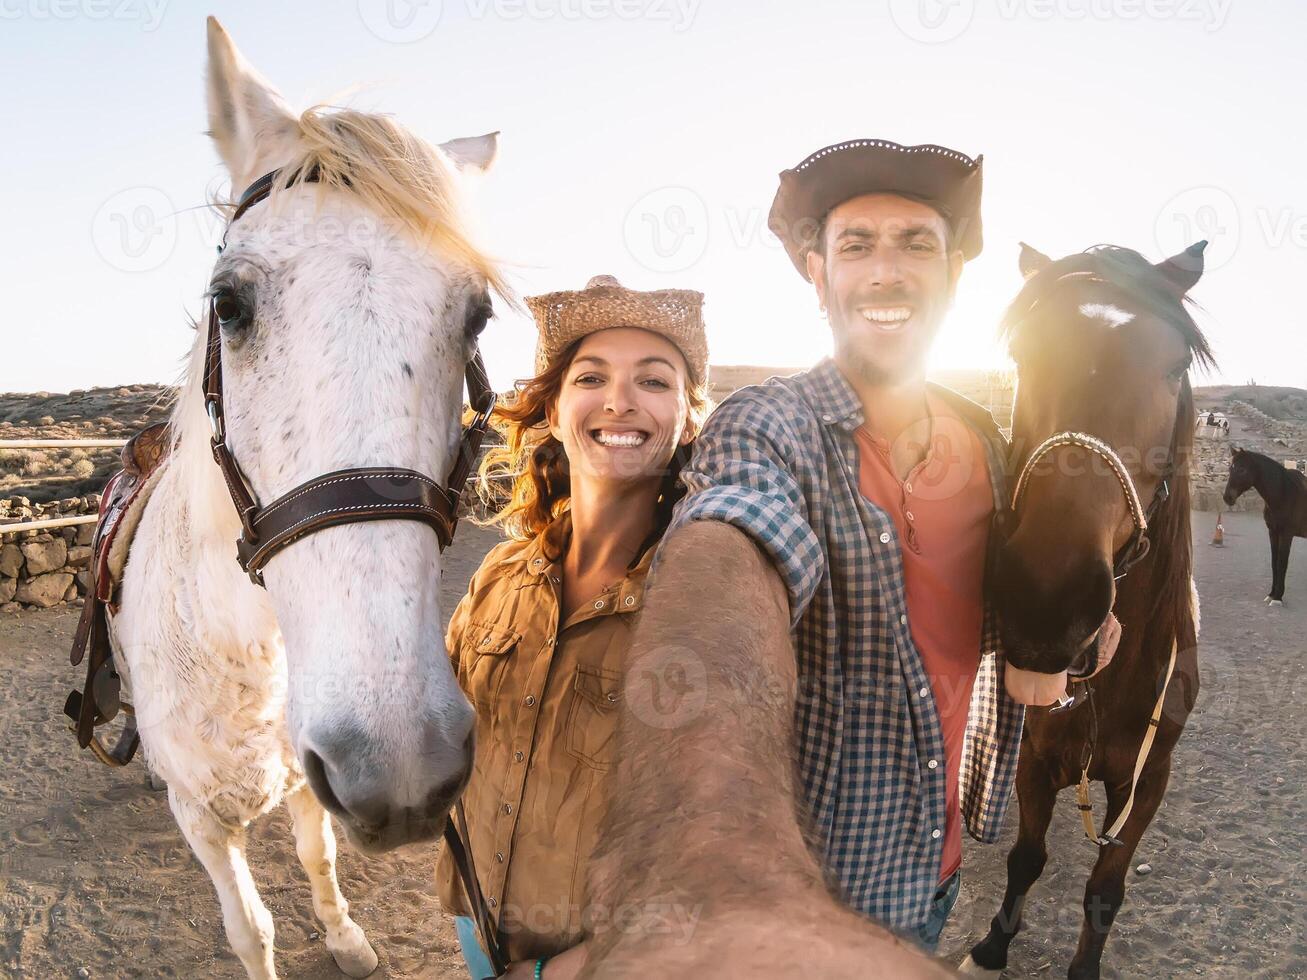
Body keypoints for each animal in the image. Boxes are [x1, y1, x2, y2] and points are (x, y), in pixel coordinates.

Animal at [107, 17, 499, 980]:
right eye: (228, 302)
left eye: (475, 316)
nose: (400, 766)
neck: (245, 653)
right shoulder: (205, 823)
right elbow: (250, 928)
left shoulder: (308, 778)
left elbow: (319, 858)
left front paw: (349, 937)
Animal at [956, 240, 1207, 980]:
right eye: (1022, 355)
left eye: (1175, 365)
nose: (1049, 598)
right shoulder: (1033, 758)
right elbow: (1026, 858)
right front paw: (994, 942)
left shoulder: (1148, 781)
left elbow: (1105, 889)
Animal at [1223, 446, 1307, 603]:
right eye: (1230, 468)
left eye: (1242, 469)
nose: (1227, 498)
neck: (1284, 493)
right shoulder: (1273, 532)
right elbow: (1274, 563)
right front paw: (1272, 594)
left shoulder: (1287, 534)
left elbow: (1282, 563)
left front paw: (1278, 598)